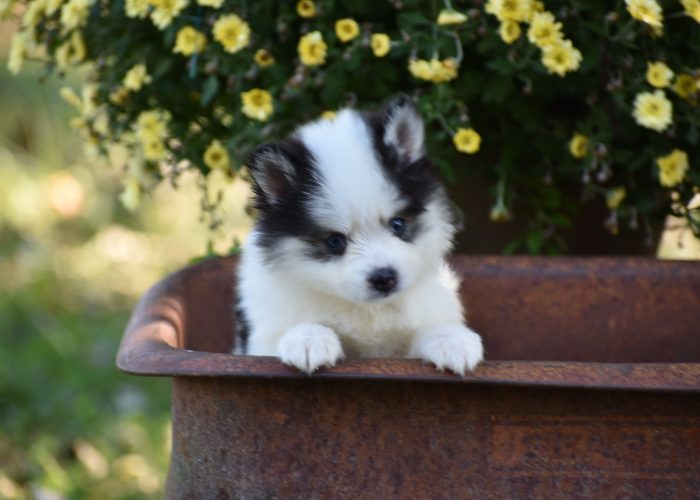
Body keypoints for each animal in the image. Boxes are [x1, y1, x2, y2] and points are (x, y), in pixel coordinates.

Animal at [235, 95, 482, 374]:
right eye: (335, 241)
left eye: (397, 224)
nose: (384, 278)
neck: (367, 311)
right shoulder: (262, 340)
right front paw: (308, 339)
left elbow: (427, 330)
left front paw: (451, 339)